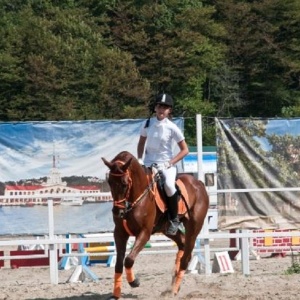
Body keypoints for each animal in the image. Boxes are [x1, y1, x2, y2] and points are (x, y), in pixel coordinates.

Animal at [101, 151, 209, 298]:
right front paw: (115, 295)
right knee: (182, 244)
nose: (118, 212)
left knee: (186, 257)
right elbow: (118, 264)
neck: (135, 198)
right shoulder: (119, 233)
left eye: (124, 184)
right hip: (167, 229)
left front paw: (134, 282)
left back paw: (174, 290)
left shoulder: (144, 233)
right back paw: (173, 282)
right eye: (110, 182)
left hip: (193, 228)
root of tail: (198, 183)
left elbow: (128, 259)